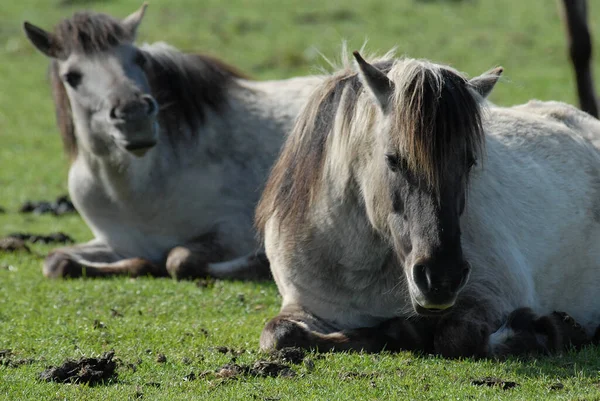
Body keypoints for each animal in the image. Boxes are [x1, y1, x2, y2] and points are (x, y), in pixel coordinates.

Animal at [23, 3, 324, 278]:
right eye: (71, 77)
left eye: (139, 59)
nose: (134, 116)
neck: (136, 193)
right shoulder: (118, 243)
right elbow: (56, 261)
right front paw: (140, 265)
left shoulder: (234, 230)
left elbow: (179, 260)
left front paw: (259, 262)